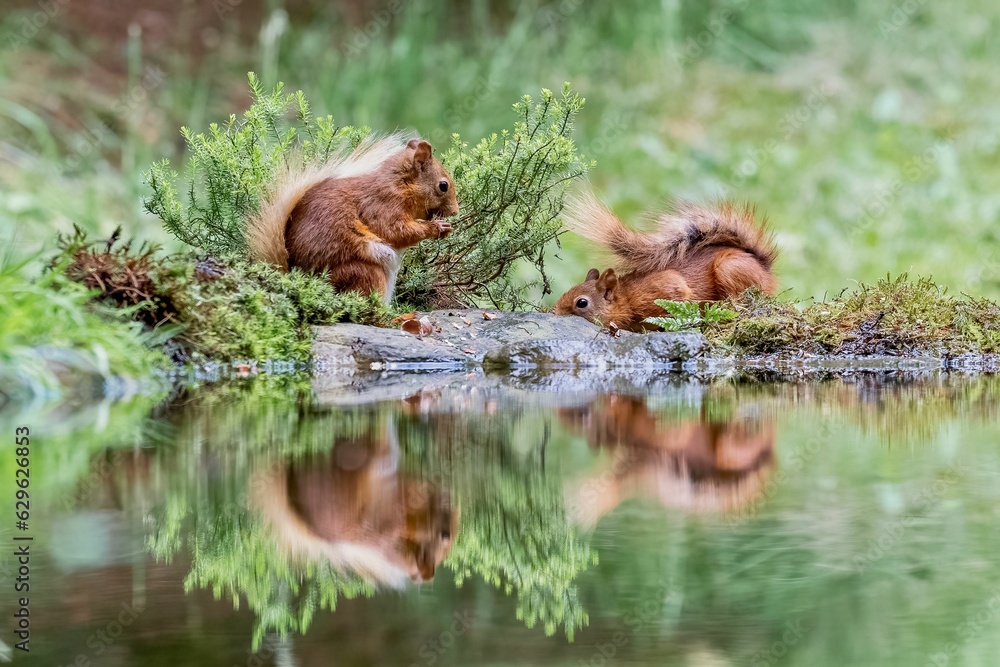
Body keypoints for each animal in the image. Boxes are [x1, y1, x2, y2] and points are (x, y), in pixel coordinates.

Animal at [247, 135, 459, 302]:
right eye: (443, 186)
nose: (455, 211)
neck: (401, 184)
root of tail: (299, 279)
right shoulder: (382, 204)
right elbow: (394, 231)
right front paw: (436, 227)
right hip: (363, 273)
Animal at [553, 195, 778, 330]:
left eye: (581, 302)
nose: (554, 312)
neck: (626, 298)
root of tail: (764, 268)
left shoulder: (663, 289)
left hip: (729, 269)